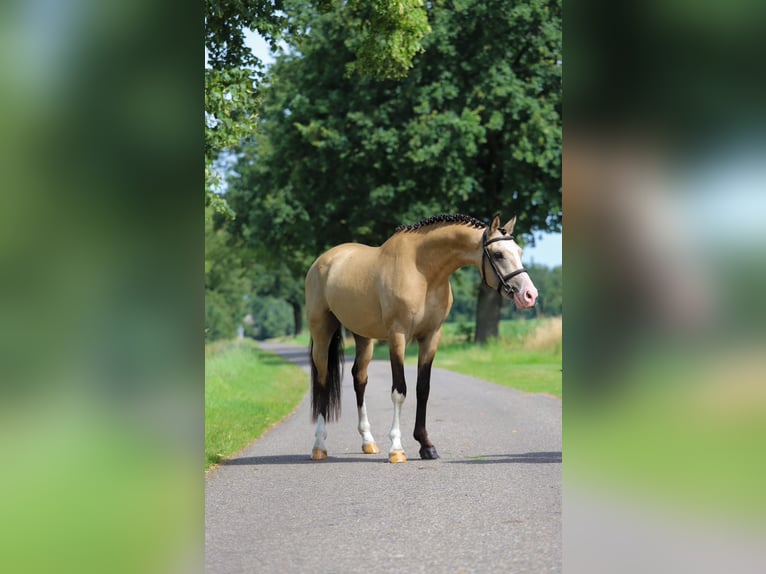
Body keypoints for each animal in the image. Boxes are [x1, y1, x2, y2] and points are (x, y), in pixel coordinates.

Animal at [306, 215, 540, 464]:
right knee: (322, 381)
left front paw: (426, 445)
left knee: (359, 380)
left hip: (363, 337)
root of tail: (323, 260)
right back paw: (319, 446)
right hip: (322, 333)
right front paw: (397, 448)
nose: (529, 295)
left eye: (519, 251)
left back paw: (368, 442)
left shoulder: (431, 336)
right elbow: (399, 391)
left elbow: (423, 389)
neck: (422, 271)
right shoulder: (397, 336)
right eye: (498, 254)